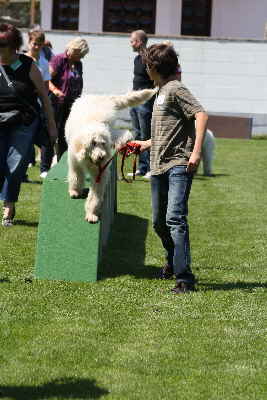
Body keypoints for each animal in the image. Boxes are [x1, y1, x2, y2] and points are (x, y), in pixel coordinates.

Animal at [65, 88, 157, 223]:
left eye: (103, 144)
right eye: (93, 143)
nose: (102, 156)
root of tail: (101, 97)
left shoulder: (100, 173)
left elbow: (95, 195)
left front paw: (92, 213)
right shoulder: (74, 162)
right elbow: (76, 176)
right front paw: (74, 191)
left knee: (124, 133)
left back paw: (125, 140)